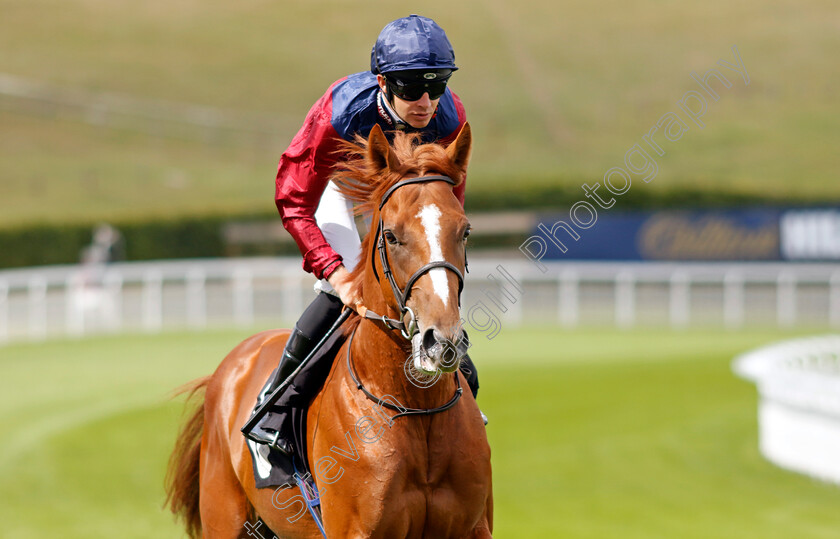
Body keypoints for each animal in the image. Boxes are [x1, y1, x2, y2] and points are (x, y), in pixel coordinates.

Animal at [165, 123, 492, 539]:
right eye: (391, 236)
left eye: (464, 231)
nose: (441, 341)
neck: (415, 408)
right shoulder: (354, 530)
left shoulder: (473, 527)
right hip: (225, 517)